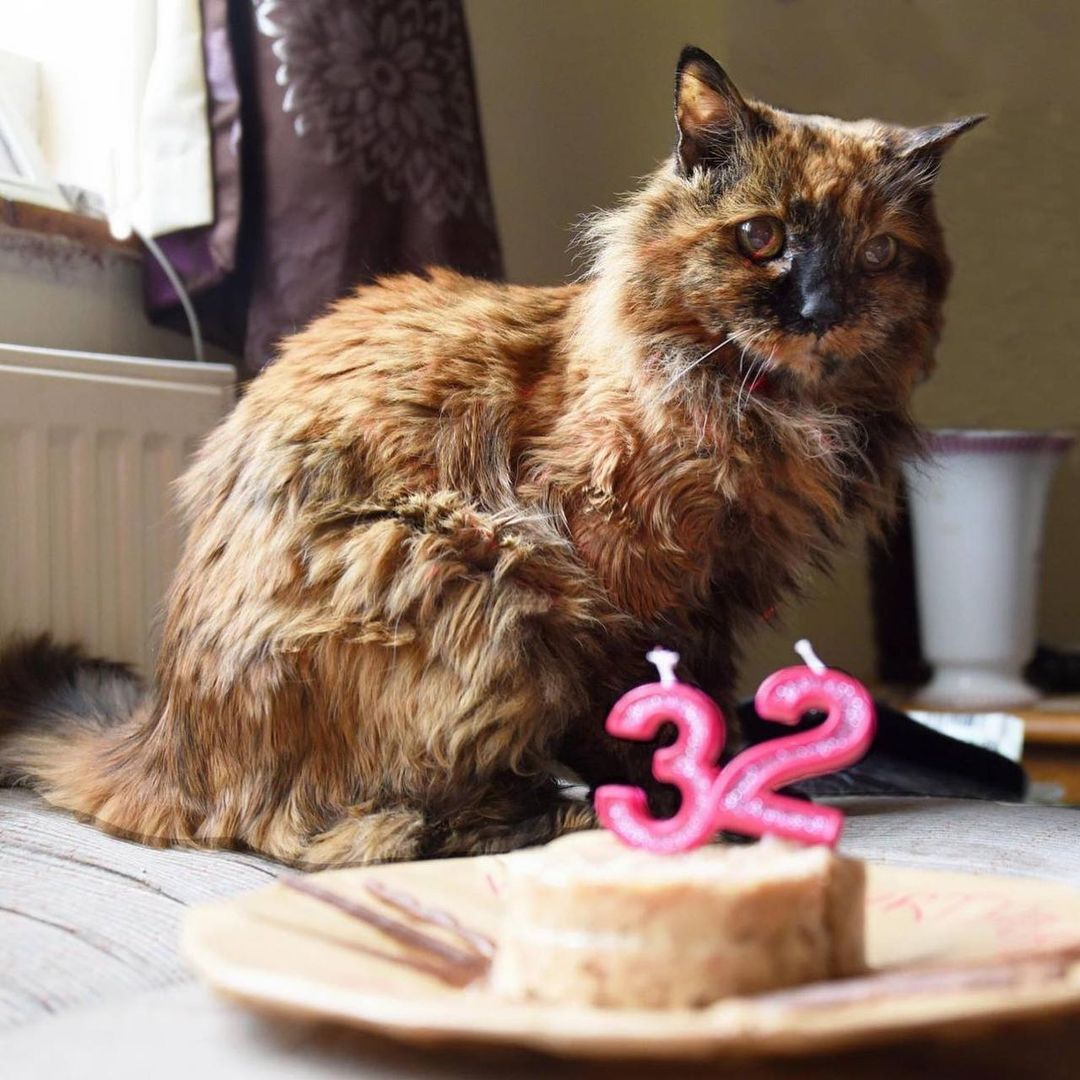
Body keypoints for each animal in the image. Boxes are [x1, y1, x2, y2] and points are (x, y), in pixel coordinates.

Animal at [0, 48, 980, 868]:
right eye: (761, 237)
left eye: (876, 255)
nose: (819, 308)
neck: (770, 414)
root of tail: (161, 737)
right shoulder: (614, 572)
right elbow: (635, 712)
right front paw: (673, 799)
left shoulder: (717, 600)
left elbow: (702, 701)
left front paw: (737, 781)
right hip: (479, 565)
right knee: (333, 833)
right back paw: (547, 810)